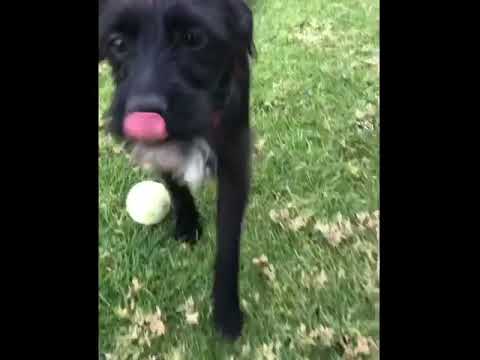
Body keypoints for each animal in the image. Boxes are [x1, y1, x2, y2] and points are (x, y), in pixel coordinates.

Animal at [98, 0, 255, 340]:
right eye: (118, 43)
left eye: (193, 38)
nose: (143, 119)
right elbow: (173, 181)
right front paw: (187, 223)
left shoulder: (235, 154)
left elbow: (228, 239)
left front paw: (226, 311)